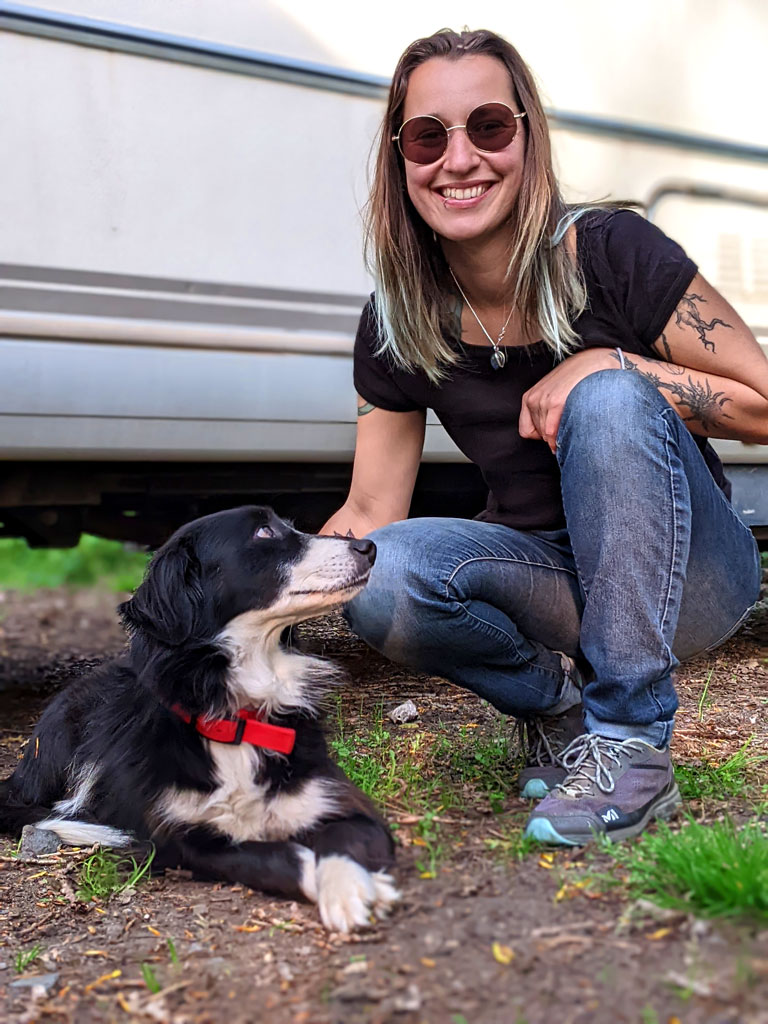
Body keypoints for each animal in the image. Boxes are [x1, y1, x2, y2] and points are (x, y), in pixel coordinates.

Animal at [0, 507, 399, 933]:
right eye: (264, 531)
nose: (368, 547)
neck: (238, 717)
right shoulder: (188, 843)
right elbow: (279, 857)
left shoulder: (342, 803)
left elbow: (341, 842)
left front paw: (351, 888)